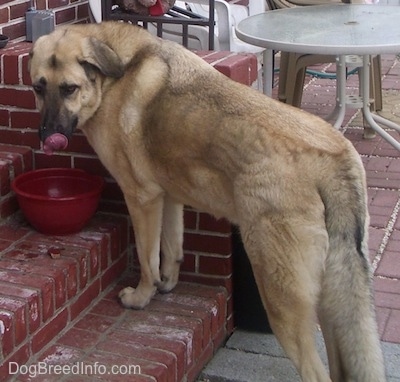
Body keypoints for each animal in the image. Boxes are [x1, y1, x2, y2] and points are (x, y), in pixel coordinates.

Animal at [29, 21, 386, 382]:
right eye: (38, 89)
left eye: (70, 89)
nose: (47, 135)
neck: (114, 73)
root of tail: (332, 157)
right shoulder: (168, 197)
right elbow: (171, 250)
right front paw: (167, 284)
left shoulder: (142, 198)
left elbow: (147, 258)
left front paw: (142, 296)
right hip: (334, 302)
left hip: (282, 297)